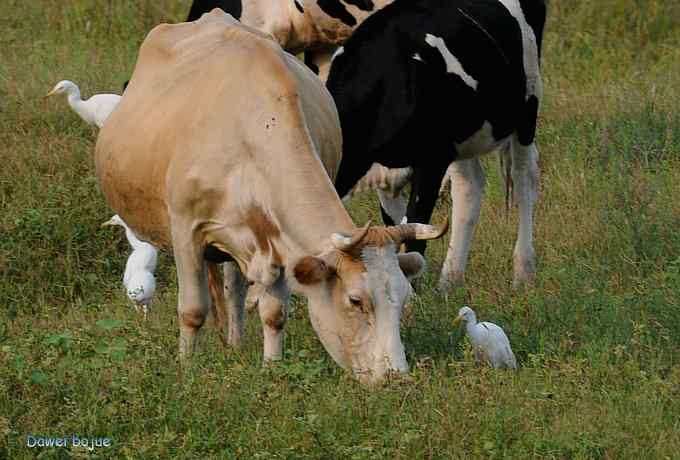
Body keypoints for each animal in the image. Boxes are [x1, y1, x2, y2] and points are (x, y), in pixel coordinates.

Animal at [95, 11, 446, 384]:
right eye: (355, 300)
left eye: (404, 298)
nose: (397, 377)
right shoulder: (186, 230)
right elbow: (192, 309)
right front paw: (186, 368)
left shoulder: (276, 240)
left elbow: (274, 313)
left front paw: (272, 367)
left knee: (233, 288)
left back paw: (234, 342)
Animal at [330, 0, 548, 288]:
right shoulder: (388, 178)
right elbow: (395, 232)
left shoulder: (431, 159)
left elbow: (414, 229)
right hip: (462, 138)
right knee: (470, 186)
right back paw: (450, 281)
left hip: (527, 104)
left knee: (524, 178)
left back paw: (523, 271)